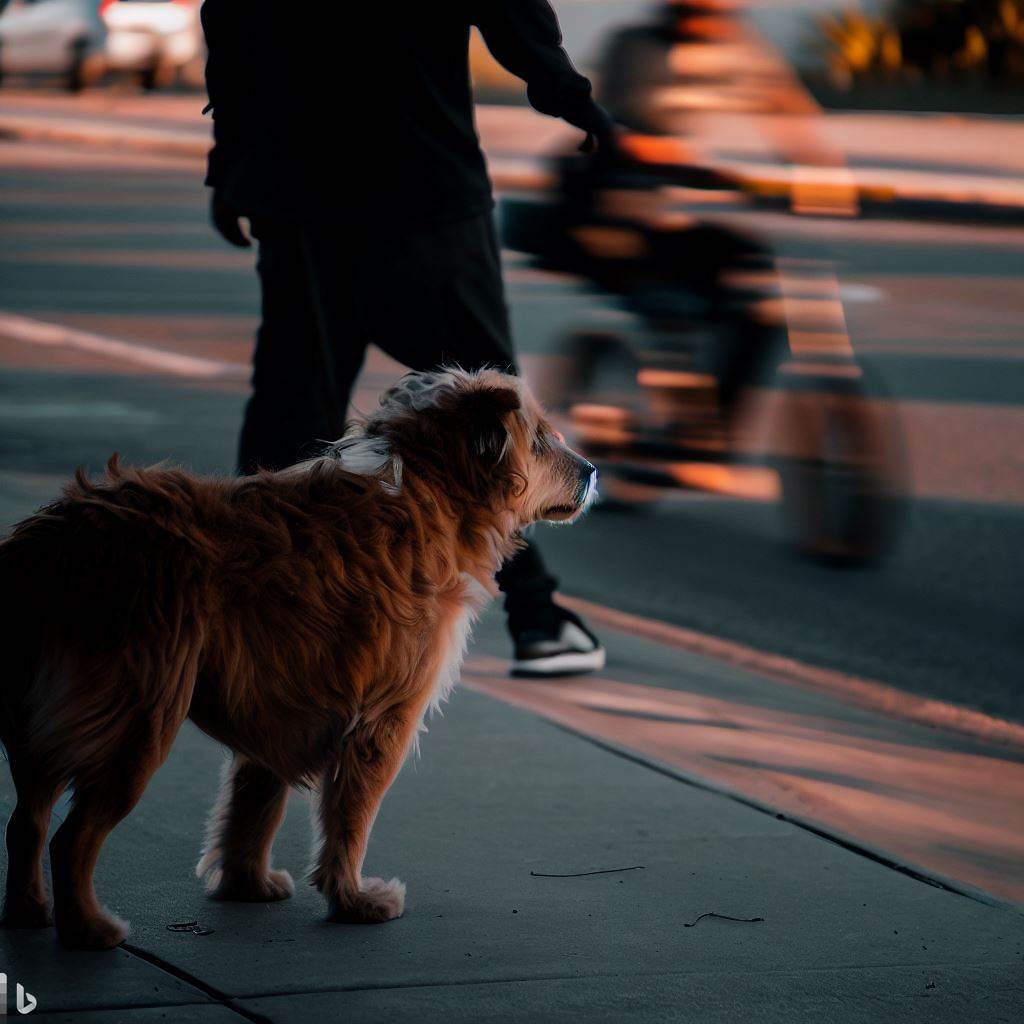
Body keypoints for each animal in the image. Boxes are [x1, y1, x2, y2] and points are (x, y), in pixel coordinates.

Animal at [0, 370, 598, 950]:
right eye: (540, 439)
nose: (594, 470)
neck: (431, 486)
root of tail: (52, 539)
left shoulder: (276, 699)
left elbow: (254, 807)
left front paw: (247, 885)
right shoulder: (382, 720)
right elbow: (350, 821)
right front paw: (353, 900)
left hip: (42, 725)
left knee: (25, 822)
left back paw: (29, 912)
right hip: (138, 719)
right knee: (70, 837)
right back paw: (89, 929)